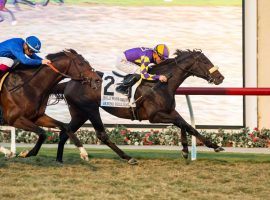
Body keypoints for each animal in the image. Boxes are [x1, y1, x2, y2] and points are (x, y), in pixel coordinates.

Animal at [53, 49, 225, 163]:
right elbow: (184, 124)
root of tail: (70, 82)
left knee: (65, 132)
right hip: (91, 109)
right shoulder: (154, 116)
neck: (160, 84)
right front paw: (213, 146)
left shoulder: (169, 111)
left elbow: (185, 124)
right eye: (205, 61)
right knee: (101, 135)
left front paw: (186, 150)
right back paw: (128, 158)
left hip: (80, 113)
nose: (220, 77)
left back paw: (59, 159)